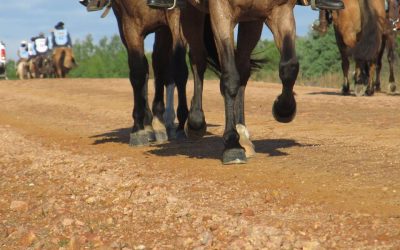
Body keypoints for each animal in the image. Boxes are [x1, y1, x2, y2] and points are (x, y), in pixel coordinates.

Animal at [182, 1, 300, 164]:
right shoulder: (221, 12)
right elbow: (230, 78)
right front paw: (232, 144)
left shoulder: (281, 10)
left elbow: (289, 67)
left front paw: (283, 109)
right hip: (190, 12)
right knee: (198, 59)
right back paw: (196, 121)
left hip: (251, 22)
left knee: (242, 66)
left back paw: (242, 134)